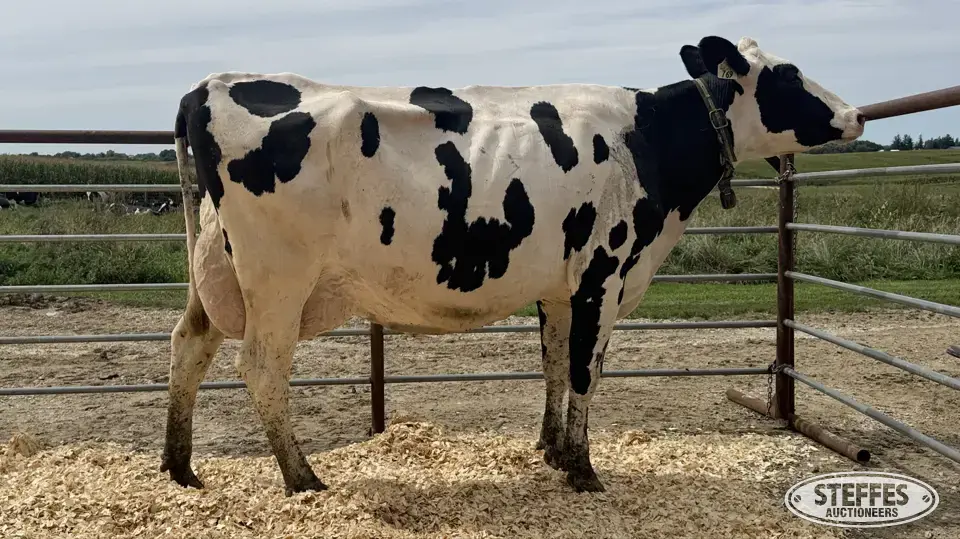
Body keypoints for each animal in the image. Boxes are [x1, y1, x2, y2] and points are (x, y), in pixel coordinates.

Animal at [161, 35, 864, 496]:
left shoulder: (559, 287)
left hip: (215, 267)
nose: (856, 113)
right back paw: (302, 477)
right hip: (277, 277)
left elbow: (553, 365)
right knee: (261, 368)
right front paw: (583, 470)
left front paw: (551, 452)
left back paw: (180, 467)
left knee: (188, 345)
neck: (648, 140)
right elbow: (583, 371)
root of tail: (207, 86)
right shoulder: (603, 273)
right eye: (789, 74)